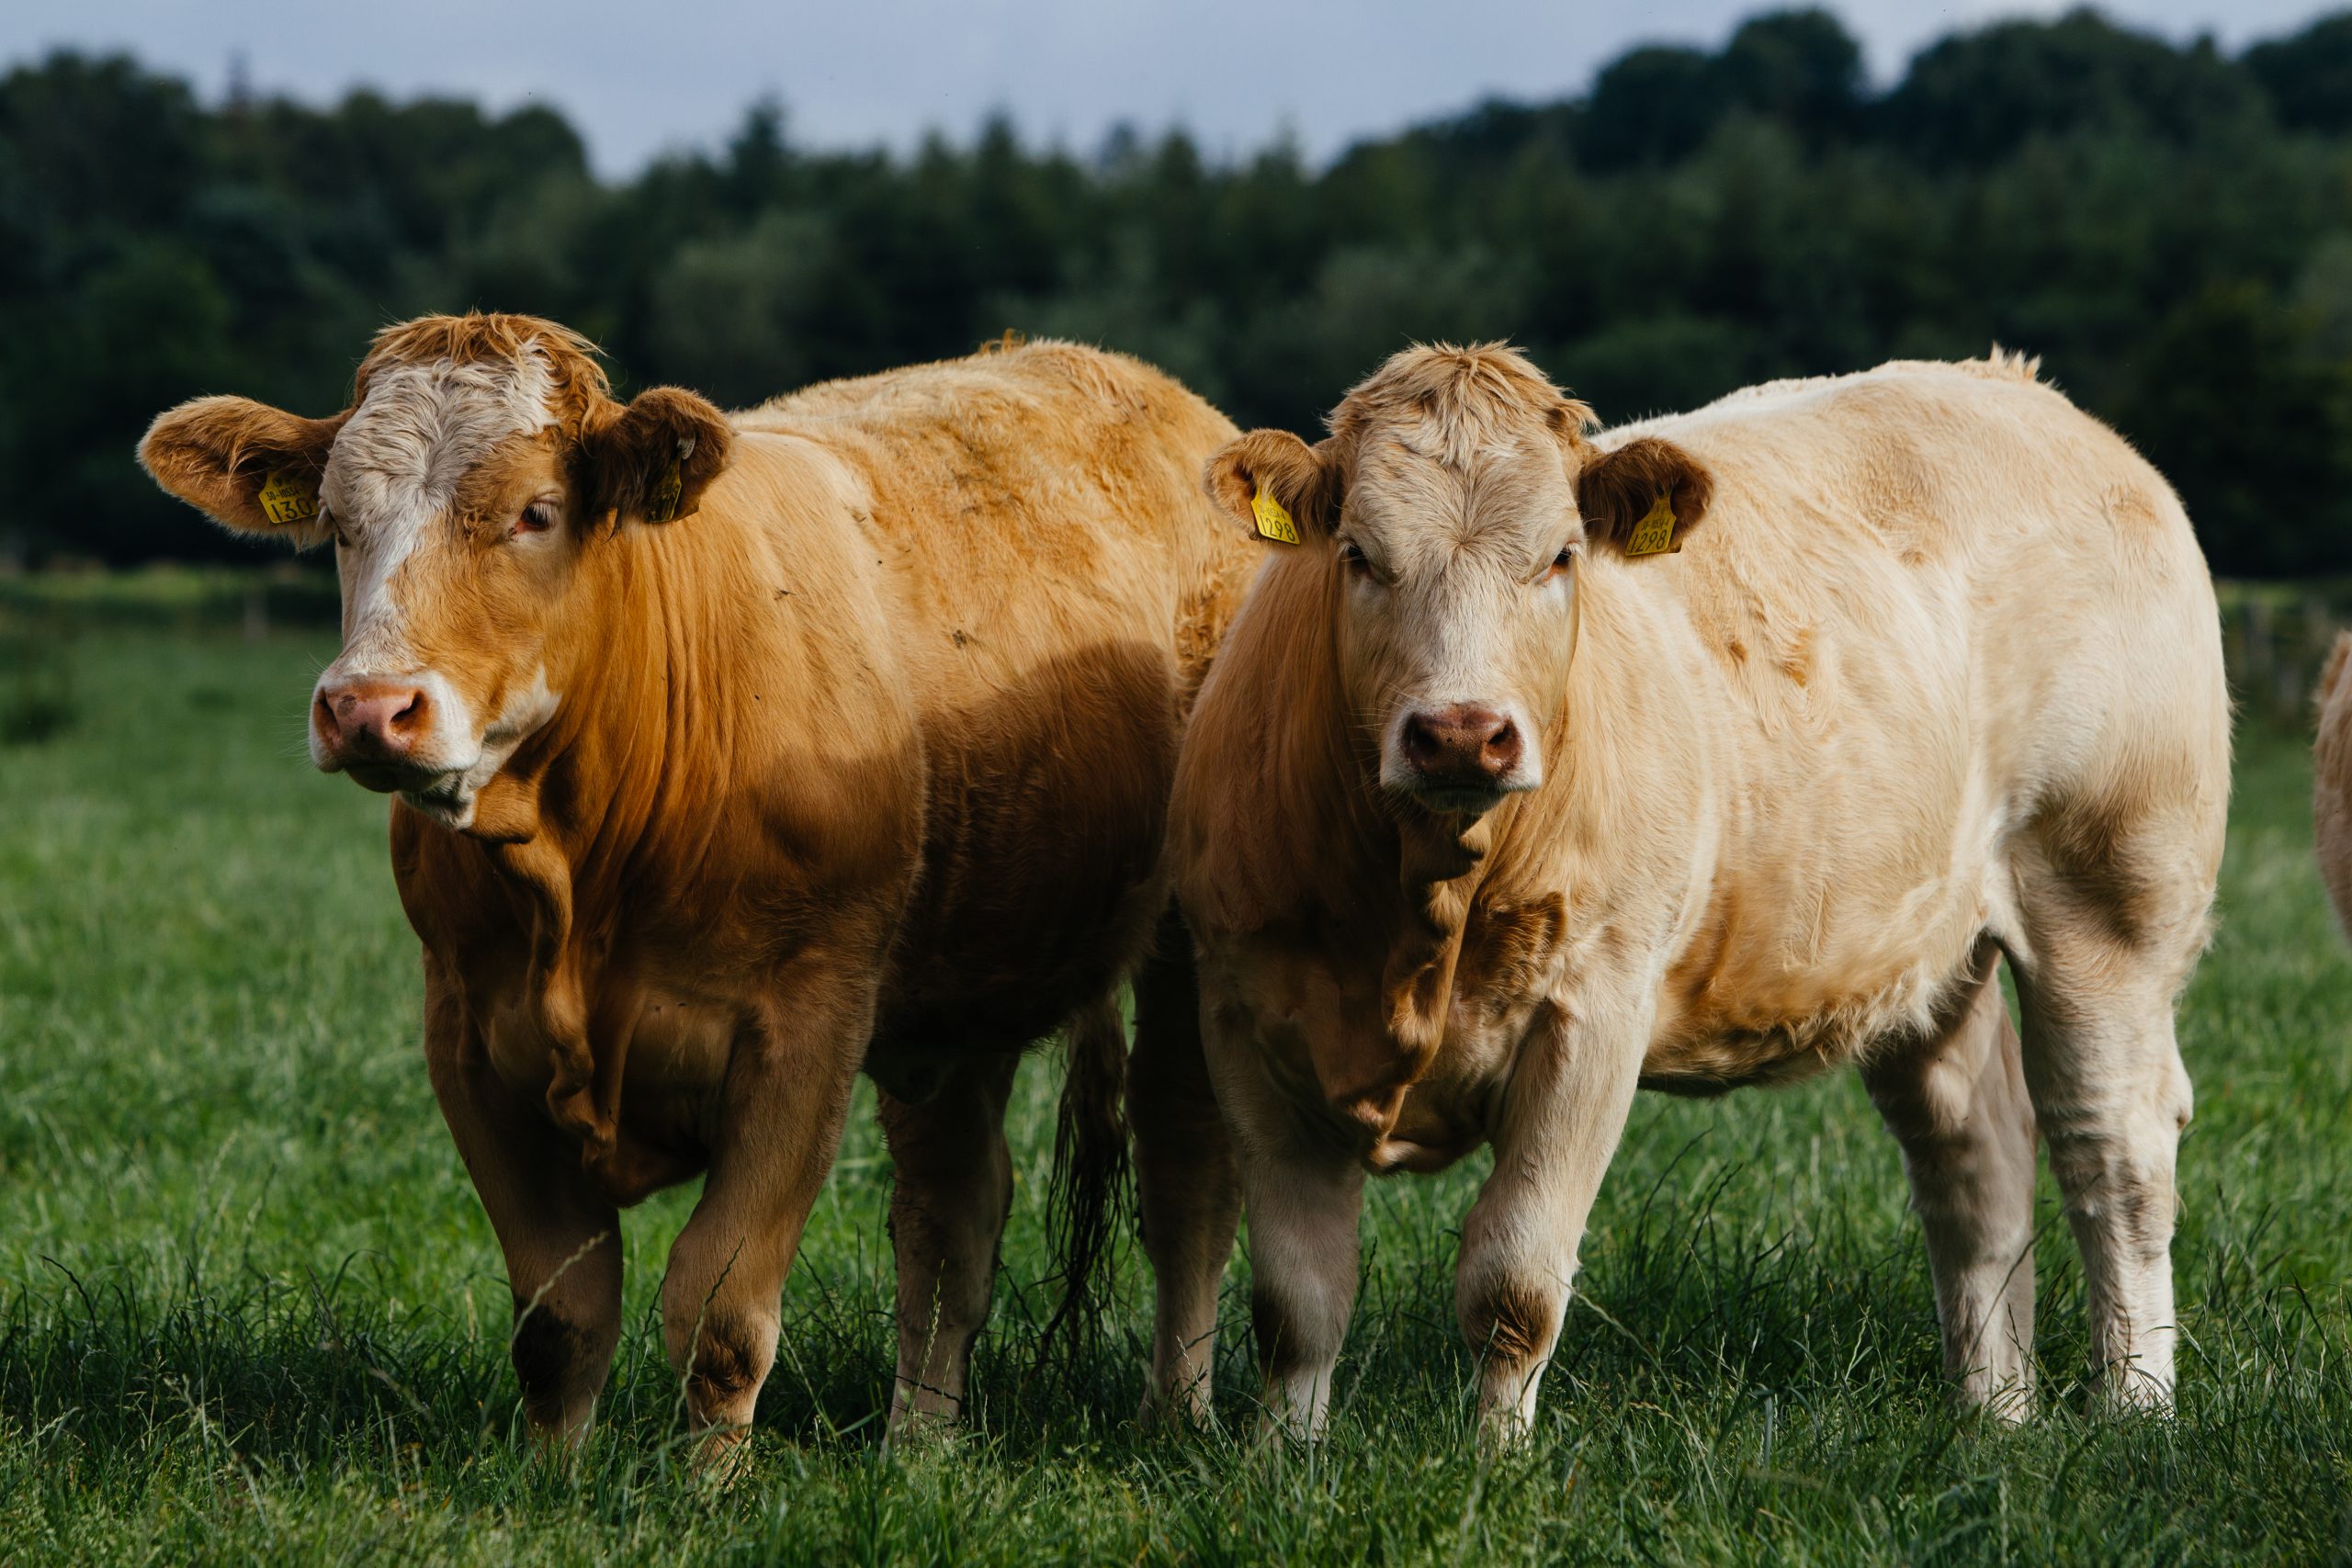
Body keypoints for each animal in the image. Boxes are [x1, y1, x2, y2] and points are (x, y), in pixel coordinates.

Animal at [137, 312, 1261, 1457]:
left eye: (536, 513)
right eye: (337, 522)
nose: (368, 707)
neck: (581, 873)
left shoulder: (805, 1029)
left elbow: (718, 1307)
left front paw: (708, 1482)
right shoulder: (465, 1035)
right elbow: (561, 1318)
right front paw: (551, 1478)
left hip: (1188, 941)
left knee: (1184, 1170)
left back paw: (1174, 1417)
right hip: (961, 973)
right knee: (953, 1210)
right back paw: (920, 1448)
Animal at [1148, 345, 2229, 1448]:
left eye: (1561, 558)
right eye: (1359, 555)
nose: (1460, 734)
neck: (1425, 911)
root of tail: (2016, 387)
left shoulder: (1591, 1014)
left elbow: (1514, 1282)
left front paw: (1496, 1460)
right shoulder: (1242, 1014)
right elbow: (1296, 1301)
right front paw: (1285, 1459)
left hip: (2111, 898)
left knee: (2115, 1148)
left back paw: (2136, 1407)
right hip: (1922, 953)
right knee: (1977, 1160)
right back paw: (1994, 1413)